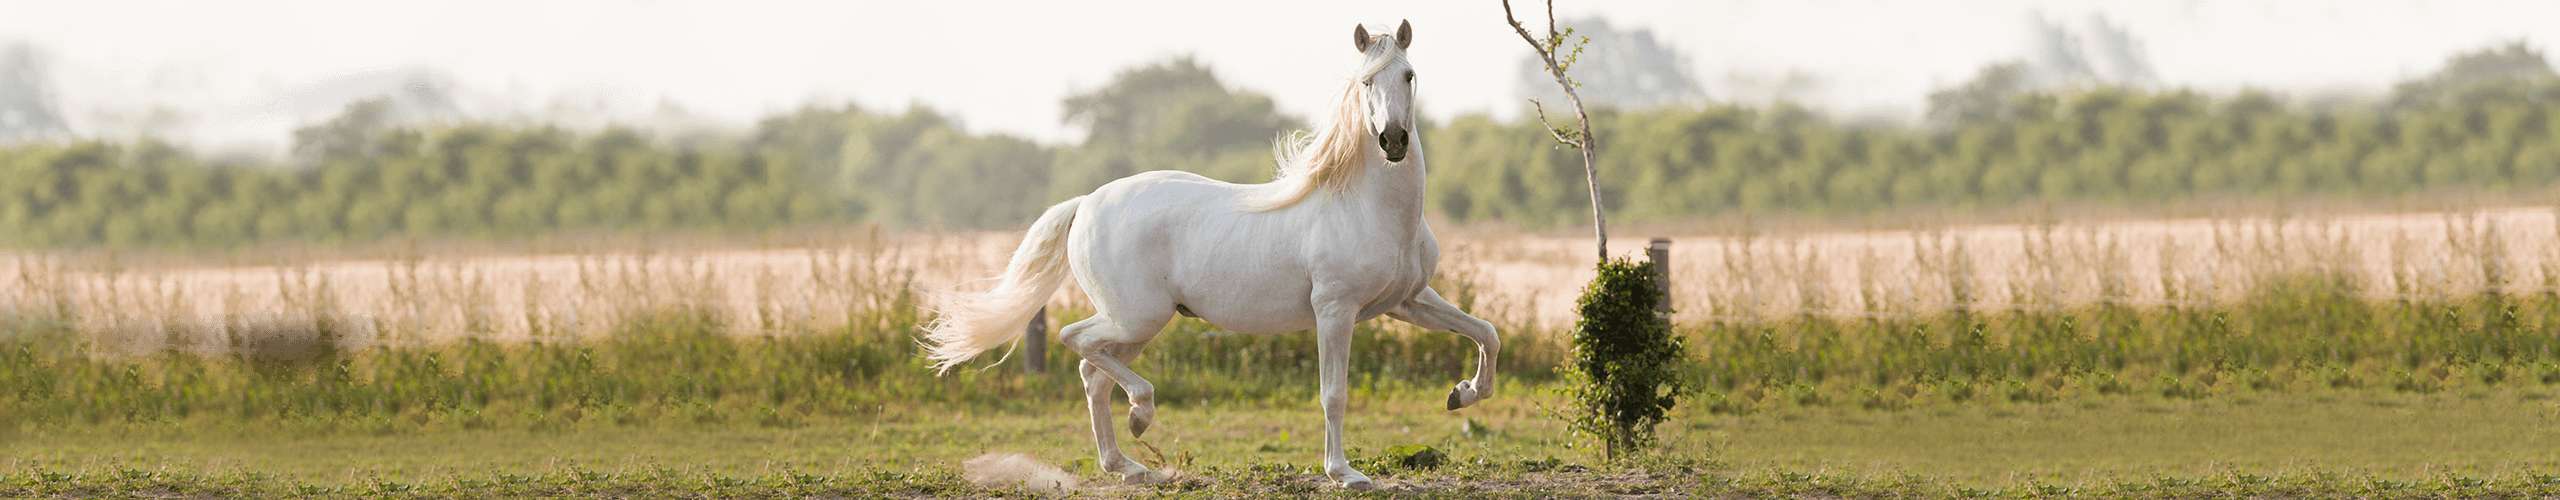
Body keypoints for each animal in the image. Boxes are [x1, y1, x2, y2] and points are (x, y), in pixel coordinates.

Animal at [921, 19, 1495, 487]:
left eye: (1409, 75)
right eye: (1366, 81)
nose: (1393, 141)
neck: (1368, 208)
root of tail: (1086, 203)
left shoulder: (1407, 301)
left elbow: (1485, 332)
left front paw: (1462, 393)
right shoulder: (1335, 311)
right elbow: (1334, 393)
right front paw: (1345, 474)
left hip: (1135, 326)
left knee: (1092, 372)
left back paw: (1128, 466)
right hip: (1136, 317)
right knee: (1075, 341)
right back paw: (1141, 416)